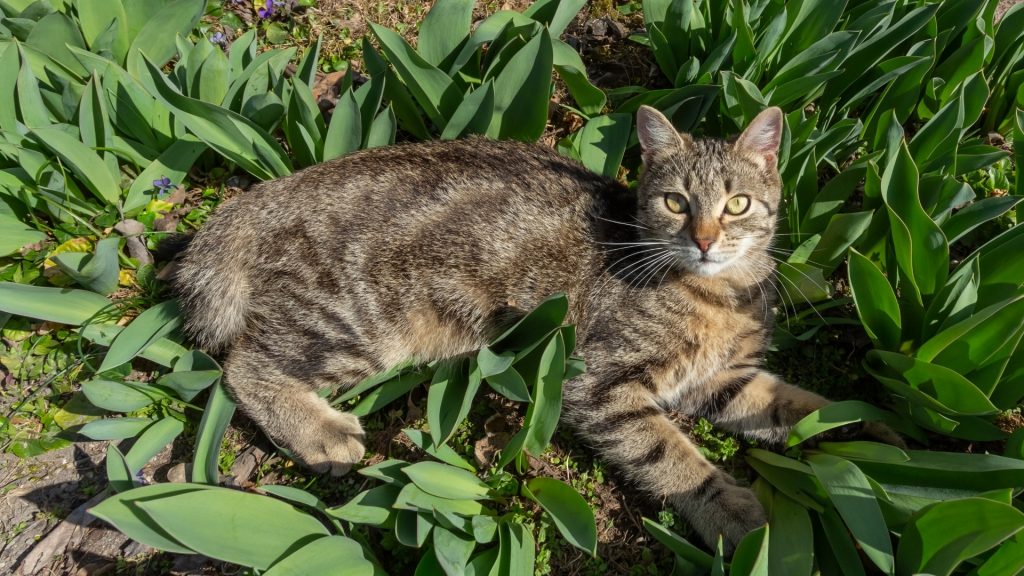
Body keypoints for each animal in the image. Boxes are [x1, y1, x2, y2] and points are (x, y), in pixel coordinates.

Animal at [169, 105, 897, 549]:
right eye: (675, 202)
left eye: (738, 204)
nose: (706, 240)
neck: (718, 292)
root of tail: (262, 195)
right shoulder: (603, 386)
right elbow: (673, 457)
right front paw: (733, 511)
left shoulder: (723, 379)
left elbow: (803, 407)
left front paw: (881, 434)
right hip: (365, 323)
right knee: (243, 366)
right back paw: (321, 433)